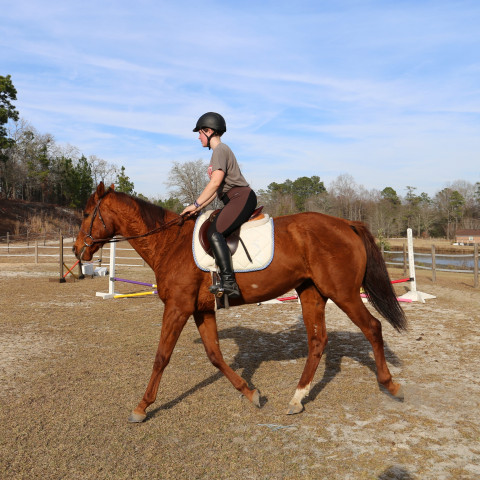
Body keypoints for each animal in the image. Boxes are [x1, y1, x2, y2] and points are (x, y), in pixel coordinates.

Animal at [74, 182, 404, 422]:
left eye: (88, 213)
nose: (78, 251)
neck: (169, 243)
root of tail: (346, 223)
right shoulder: (201, 310)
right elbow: (215, 355)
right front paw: (251, 393)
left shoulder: (178, 308)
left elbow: (161, 357)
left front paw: (142, 407)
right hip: (312, 292)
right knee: (317, 340)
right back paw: (297, 398)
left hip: (343, 293)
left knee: (372, 327)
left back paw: (390, 385)